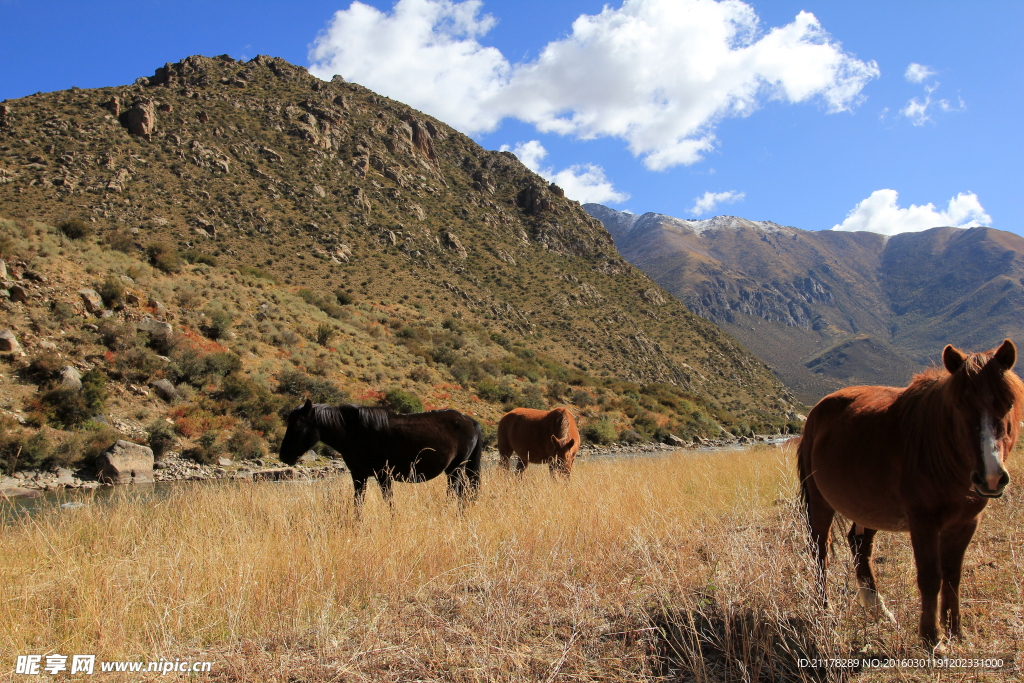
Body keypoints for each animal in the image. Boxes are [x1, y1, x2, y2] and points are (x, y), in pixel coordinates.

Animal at [280, 401, 483, 507]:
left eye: (298, 425)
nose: (283, 456)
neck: (355, 432)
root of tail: (469, 420)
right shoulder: (359, 476)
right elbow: (358, 504)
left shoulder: (383, 475)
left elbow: (389, 502)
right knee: (464, 492)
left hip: (455, 469)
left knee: (456, 493)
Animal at [798, 342, 1024, 647]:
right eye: (959, 405)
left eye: (1008, 403)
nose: (991, 476)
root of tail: (816, 413)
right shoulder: (923, 524)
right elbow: (930, 577)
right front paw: (932, 638)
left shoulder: (965, 524)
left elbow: (952, 576)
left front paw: (955, 631)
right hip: (821, 503)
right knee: (820, 551)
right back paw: (826, 610)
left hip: (867, 508)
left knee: (860, 546)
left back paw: (878, 611)